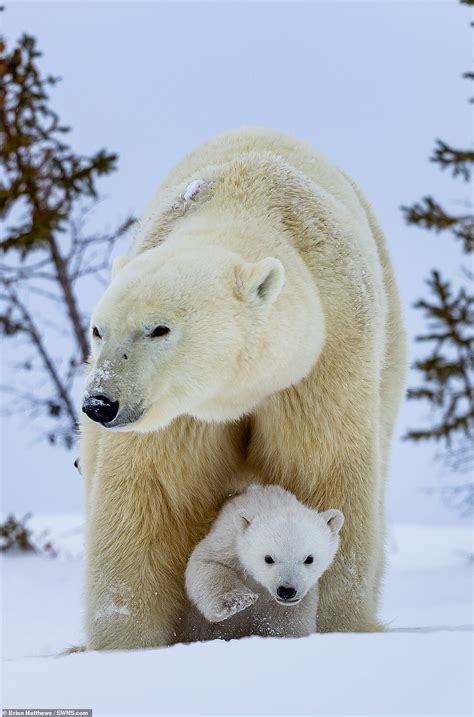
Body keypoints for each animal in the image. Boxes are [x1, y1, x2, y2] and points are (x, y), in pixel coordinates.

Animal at [182, 484, 344, 640]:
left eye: (309, 559)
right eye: (268, 558)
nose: (286, 591)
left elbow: (286, 619)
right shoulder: (229, 542)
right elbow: (209, 561)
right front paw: (237, 600)